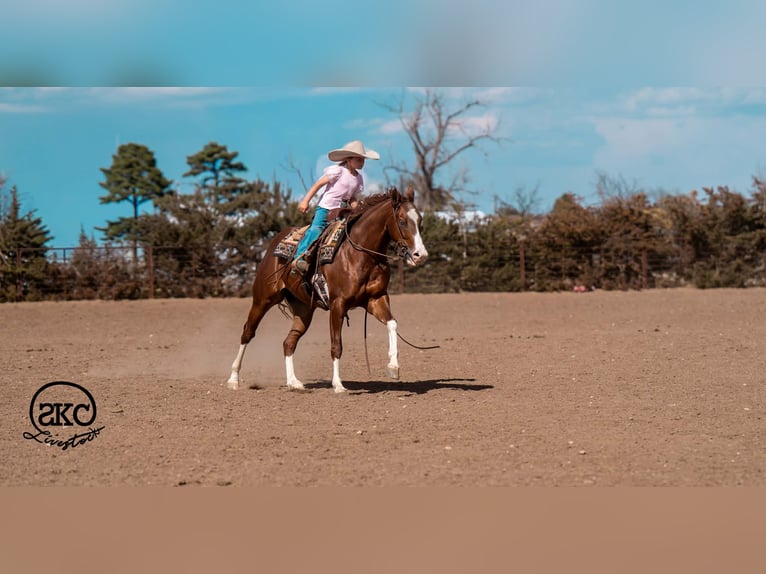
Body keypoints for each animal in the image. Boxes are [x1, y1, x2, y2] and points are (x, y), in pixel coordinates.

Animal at [227, 186, 429, 393]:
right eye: (402, 221)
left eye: (420, 220)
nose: (420, 255)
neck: (359, 254)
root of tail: (275, 242)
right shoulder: (337, 304)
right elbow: (336, 345)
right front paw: (338, 385)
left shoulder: (376, 299)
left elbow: (392, 323)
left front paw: (393, 367)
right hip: (263, 299)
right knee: (248, 332)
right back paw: (233, 379)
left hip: (303, 310)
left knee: (288, 342)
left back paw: (294, 382)